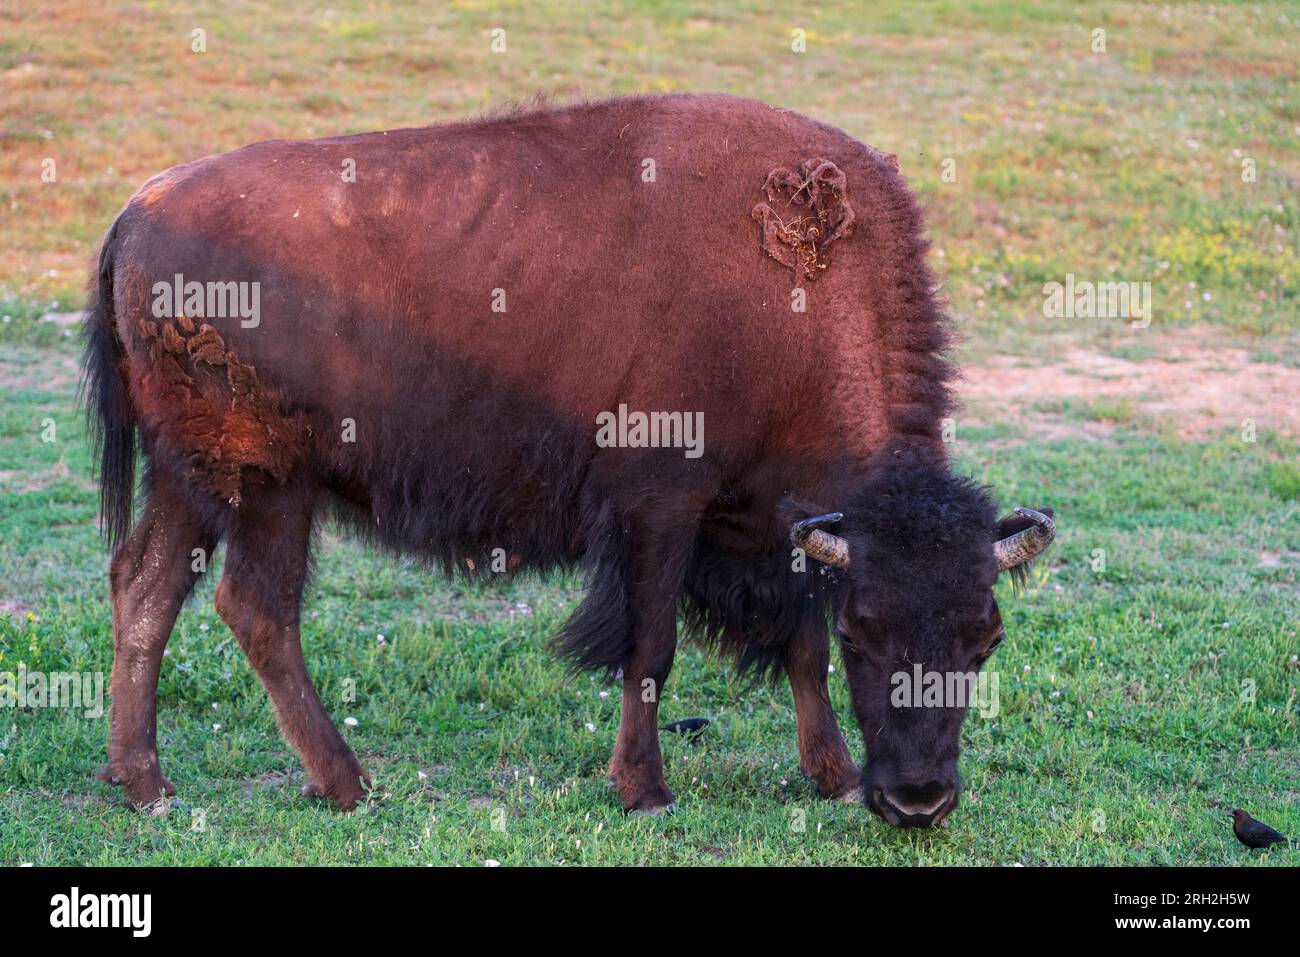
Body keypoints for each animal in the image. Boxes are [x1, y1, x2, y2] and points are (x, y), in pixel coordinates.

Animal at [83, 91, 1055, 832]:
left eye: (987, 638)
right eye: (869, 632)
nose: (919, 801)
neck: (795, 296)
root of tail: (135, 211)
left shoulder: (781, 529)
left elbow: (797, 646)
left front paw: (832, 773)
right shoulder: (660, 507)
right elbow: (653, 648)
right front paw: (645, 791)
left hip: (195, 481)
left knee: (147, 585)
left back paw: (147, 784)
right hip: (268, 486)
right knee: (256, 608)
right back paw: (347, 783)